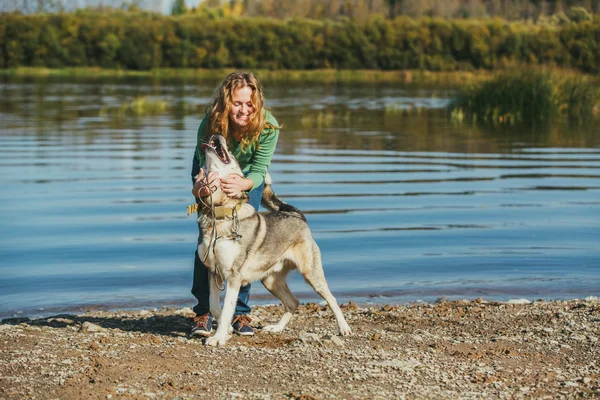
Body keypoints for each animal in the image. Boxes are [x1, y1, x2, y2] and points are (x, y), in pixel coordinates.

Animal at [195, 134, 352, 346]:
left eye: (232, 155)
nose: (218, 135)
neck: (219, 215)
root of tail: (295, 214)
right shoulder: (214, 272)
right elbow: (214, 306)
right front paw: (225, 330)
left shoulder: (233, 277)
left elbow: (227, 309)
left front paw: (219, 338)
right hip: (270, 280)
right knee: (293, 302)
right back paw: (276, 328)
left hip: (311, 274)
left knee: (332, 299)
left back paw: (344, 328)